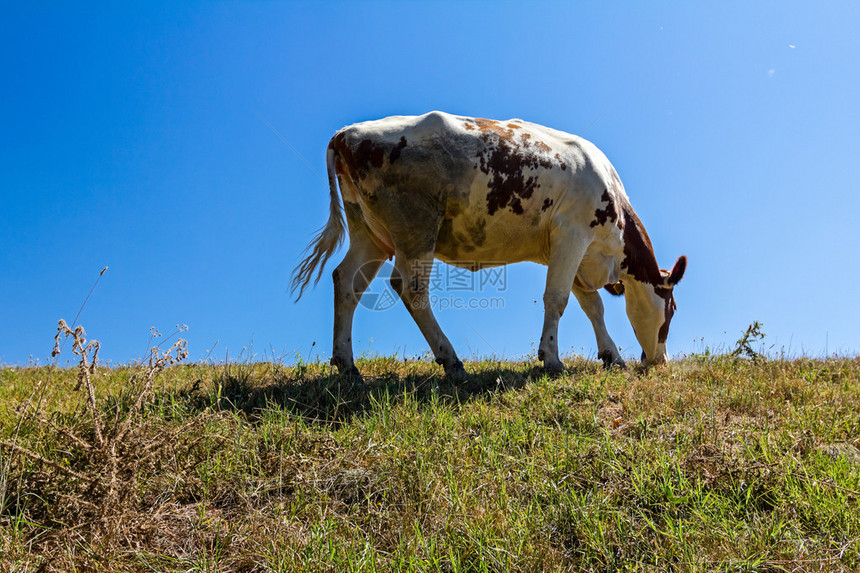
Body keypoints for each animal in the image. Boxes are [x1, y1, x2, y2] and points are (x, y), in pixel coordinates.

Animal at [292, 111, 688, 380]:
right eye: (671, 311)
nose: (660, 361)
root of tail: (345, 133)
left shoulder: (572, 250)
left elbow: (593, 306)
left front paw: (612, 355)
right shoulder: (572, 233)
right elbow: (557, 299)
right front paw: (552, 359)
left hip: (371, 234)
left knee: (347, 282)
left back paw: (348, 365)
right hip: (415, 227)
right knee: (410, 288)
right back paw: (451, 361)